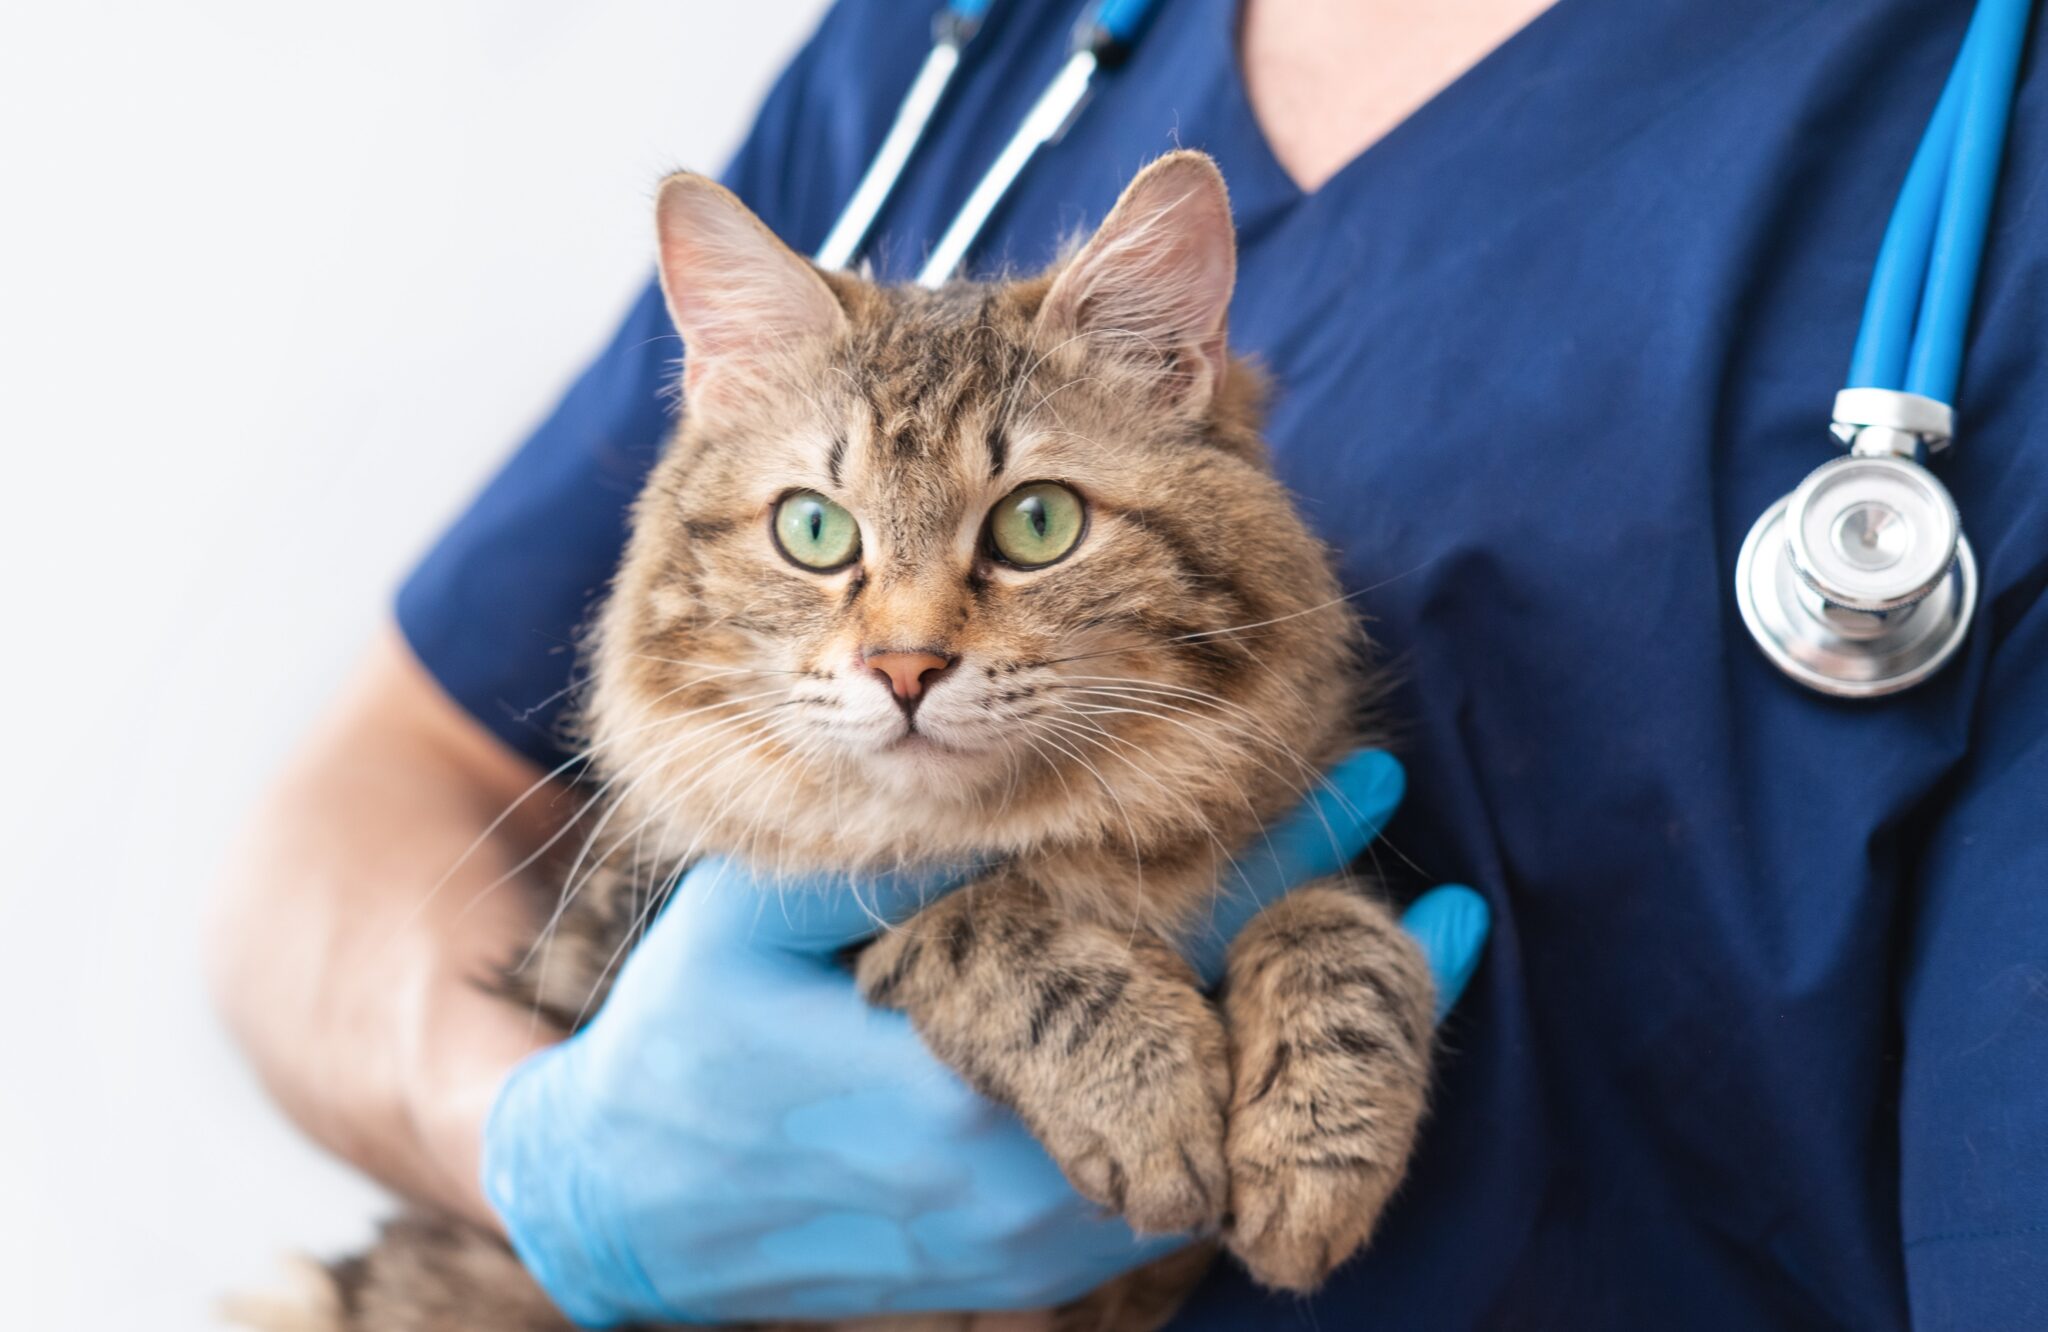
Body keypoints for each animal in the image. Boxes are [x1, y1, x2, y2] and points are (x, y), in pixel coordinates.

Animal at [247, 150, 1433, 1327]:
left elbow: (1339, 928)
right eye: (814, 530)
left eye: (1037, 524)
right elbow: (965, 921)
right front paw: (1147, 1092)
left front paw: (1319, 1149)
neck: (1048, 837)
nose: (905, 667)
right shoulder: (687, 916)